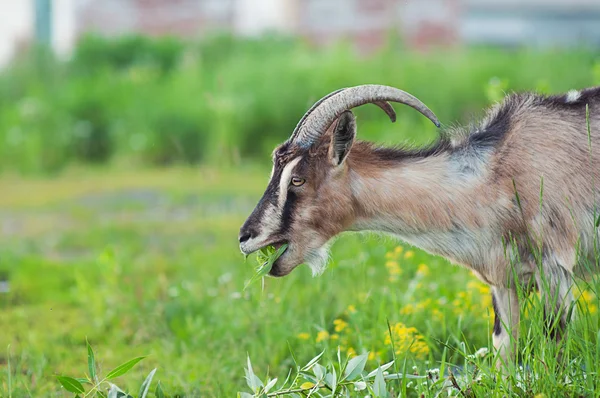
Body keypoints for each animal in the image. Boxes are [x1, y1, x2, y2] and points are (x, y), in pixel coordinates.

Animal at [238, 84, 600, 366]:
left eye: (297, 179)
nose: (245, 236)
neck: (493, 174)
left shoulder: (555, 266)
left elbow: (553, 344)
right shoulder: (504, 279)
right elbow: (504, 350)